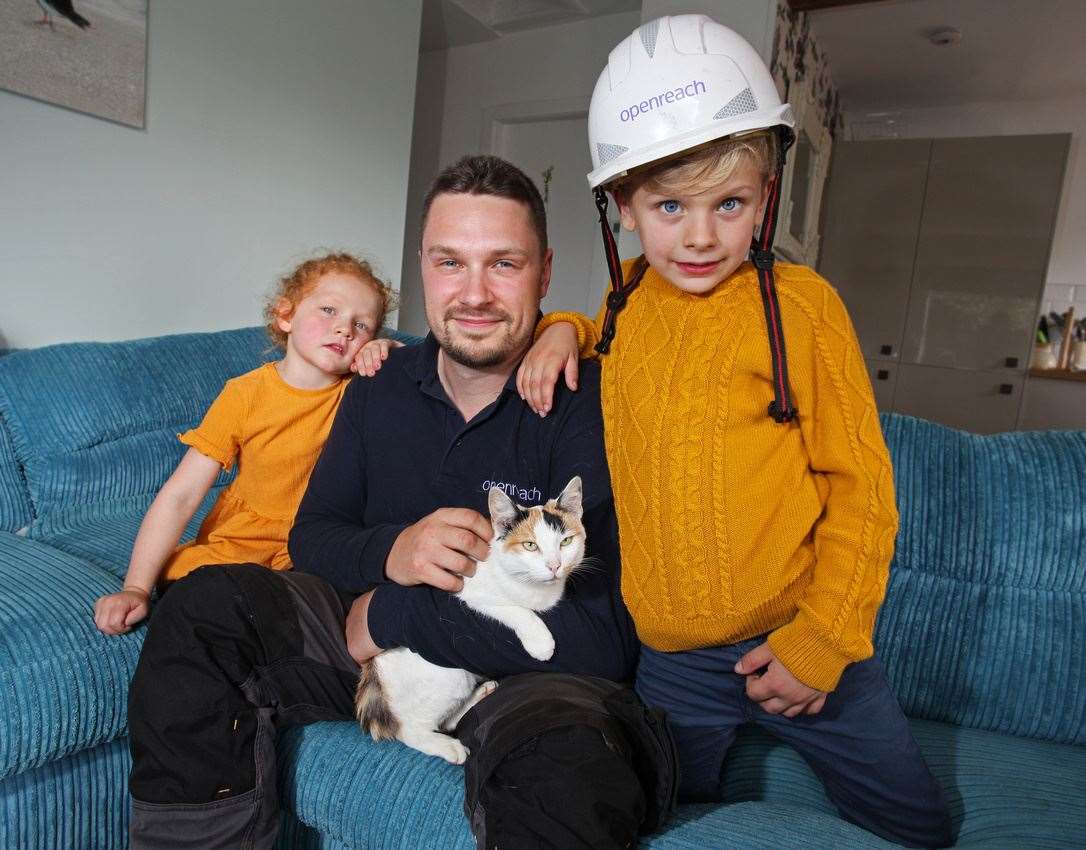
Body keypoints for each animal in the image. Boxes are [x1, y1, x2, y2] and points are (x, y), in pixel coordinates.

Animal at [354, 477, 586, 764]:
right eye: (530, 545)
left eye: (566, 542)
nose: (554, 566)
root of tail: (373, 676)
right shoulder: (472, 593)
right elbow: (515, 610)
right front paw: (540, 642)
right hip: (447, 675)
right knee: (408, 729)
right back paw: (446, 746)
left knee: (447, 721)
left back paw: (481, 694)